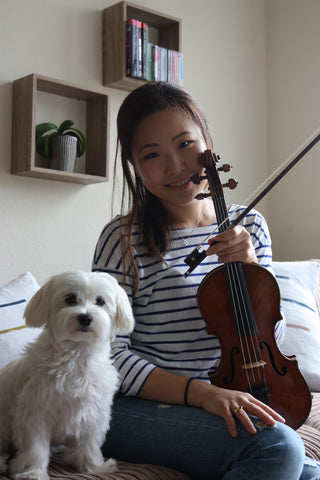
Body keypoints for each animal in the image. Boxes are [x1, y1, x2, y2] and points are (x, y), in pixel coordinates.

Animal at [0, 272, 134, 478]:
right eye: (70, 299)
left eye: (100, 301)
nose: (85, 318)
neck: (77, 354)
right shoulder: (35, 413)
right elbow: (35, 447)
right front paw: (33, 472)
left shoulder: (93, 413)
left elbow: (89, 443)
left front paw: (93, 467)